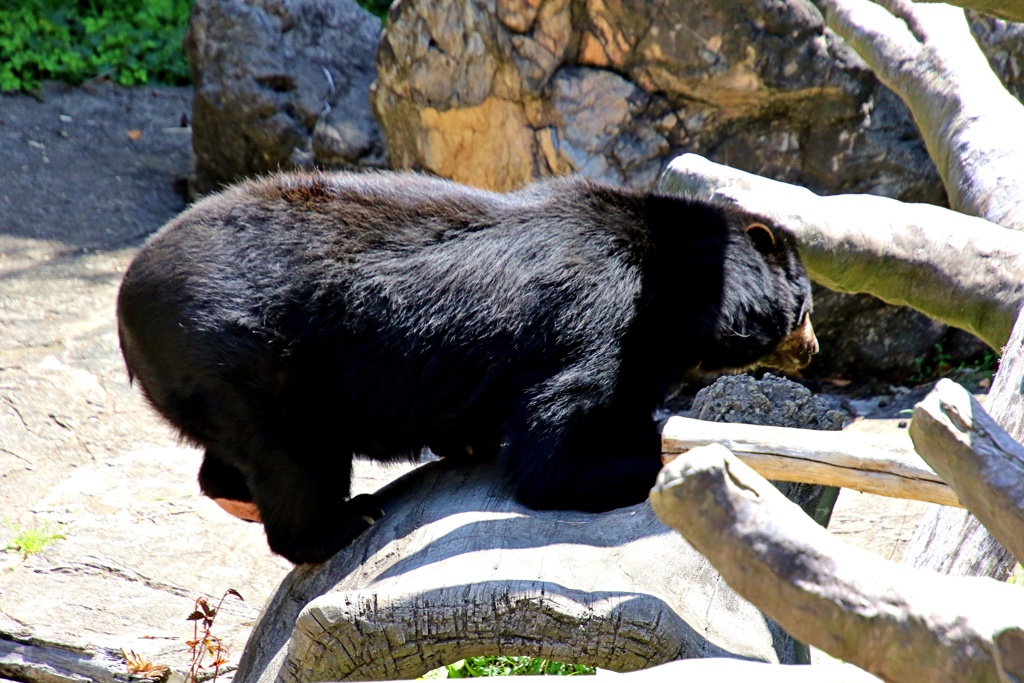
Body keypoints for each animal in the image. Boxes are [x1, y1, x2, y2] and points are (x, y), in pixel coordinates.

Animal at [116, 172, 815, 565]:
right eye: (806, 307)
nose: (811, 352)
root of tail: (128, 296)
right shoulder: (600, 318)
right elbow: (559, 447)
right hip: (252, 357)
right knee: (295, 456)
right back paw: (344, 520)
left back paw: (239, 497)